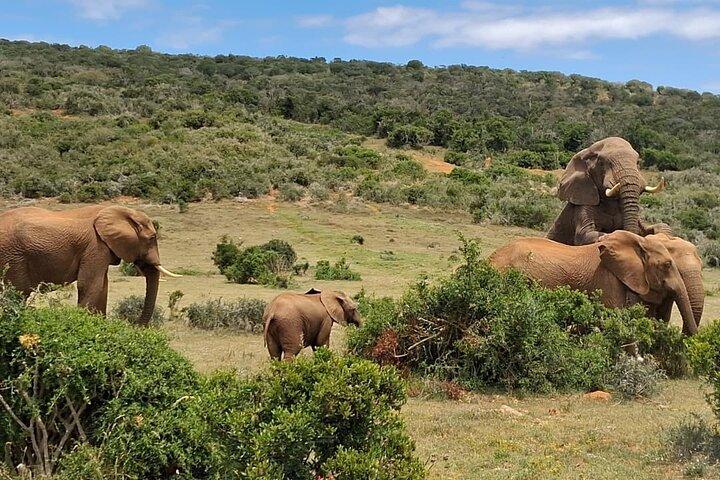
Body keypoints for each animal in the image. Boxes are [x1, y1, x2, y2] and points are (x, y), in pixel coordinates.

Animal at [0, 205, 179, 326]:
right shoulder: (95, 246)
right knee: (18, 292)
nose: (133, 325)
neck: (120, 211)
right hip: (13, 256)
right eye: (152, 238)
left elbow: (102, 287)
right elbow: (90, 285)